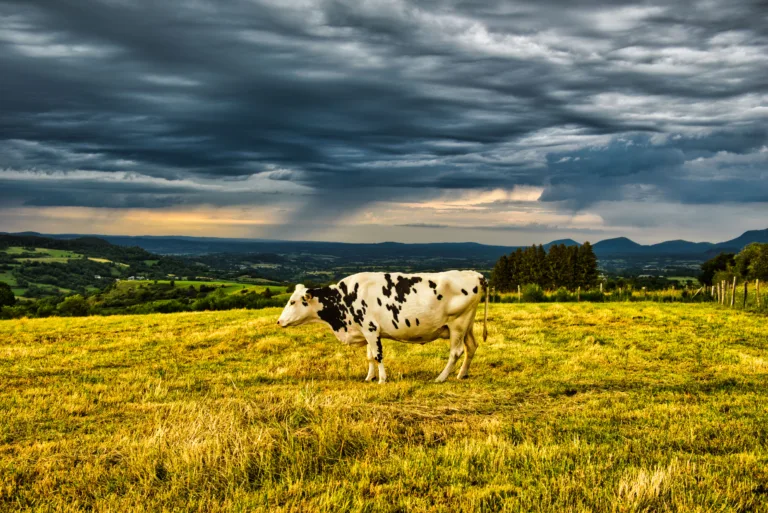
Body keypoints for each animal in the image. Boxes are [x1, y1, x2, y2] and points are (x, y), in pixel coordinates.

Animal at [276, 270, 489, 383]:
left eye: (293, 302)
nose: (279, 321)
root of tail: (475, 274)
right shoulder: (365, 331)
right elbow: (370, 357)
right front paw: (369, 377)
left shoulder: (371, 329)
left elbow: (378, 356)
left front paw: (382, 379)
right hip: (467, 325)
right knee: (471, 347)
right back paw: (462, 374)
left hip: (458, 324)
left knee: (456, 352)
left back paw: (441, 377)